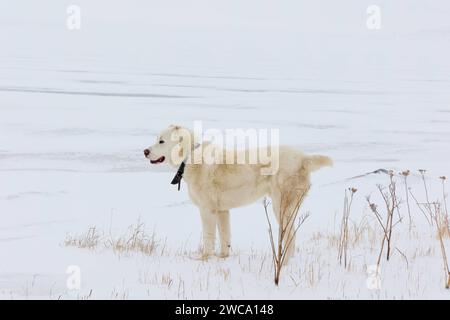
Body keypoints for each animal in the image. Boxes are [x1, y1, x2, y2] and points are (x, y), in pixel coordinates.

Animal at [146, 124, 332, 262]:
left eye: (161, 141)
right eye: (156, 140)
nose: (145, 151)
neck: (189, 156)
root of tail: (303, 158)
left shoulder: (207, 210)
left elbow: (208, 237)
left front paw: (204, 259)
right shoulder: (222, 211)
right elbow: (225, 236)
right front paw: (222, 258)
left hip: (281, 206)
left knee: (290, 235)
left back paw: (283, 262)